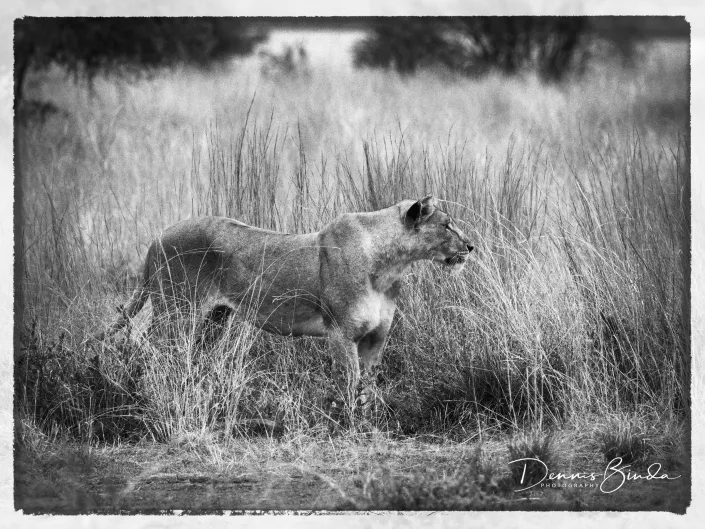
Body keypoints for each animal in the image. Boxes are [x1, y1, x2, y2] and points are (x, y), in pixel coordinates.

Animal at [102, 195, 473, 417]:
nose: (471, 245)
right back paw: (160, 395)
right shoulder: (340, 333)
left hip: (215, 319)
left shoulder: (376, 338)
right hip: (178, 311)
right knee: (155, 348)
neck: (390, 264)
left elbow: (367, 383)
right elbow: (348, 381)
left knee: (190, 355)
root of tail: (157, 237)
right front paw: (348, 423)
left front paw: (368, 421)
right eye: (446, 225)